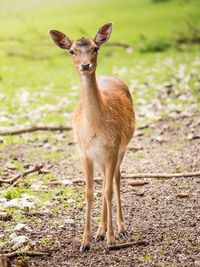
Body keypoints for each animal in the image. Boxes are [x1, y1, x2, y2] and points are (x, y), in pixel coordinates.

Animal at [49, 22, 135, 251]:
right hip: (101, 158)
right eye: (72, 51)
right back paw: (100, 231)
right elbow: (88, 192)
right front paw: (85, 241)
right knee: (105, 180)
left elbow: (108, 190)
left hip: (122, 148)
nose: (85, 65)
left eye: (95, 48)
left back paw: (120, 229)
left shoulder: (112, 148)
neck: (96, 130)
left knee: (115, 179)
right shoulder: (85, 153)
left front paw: (112, 239)